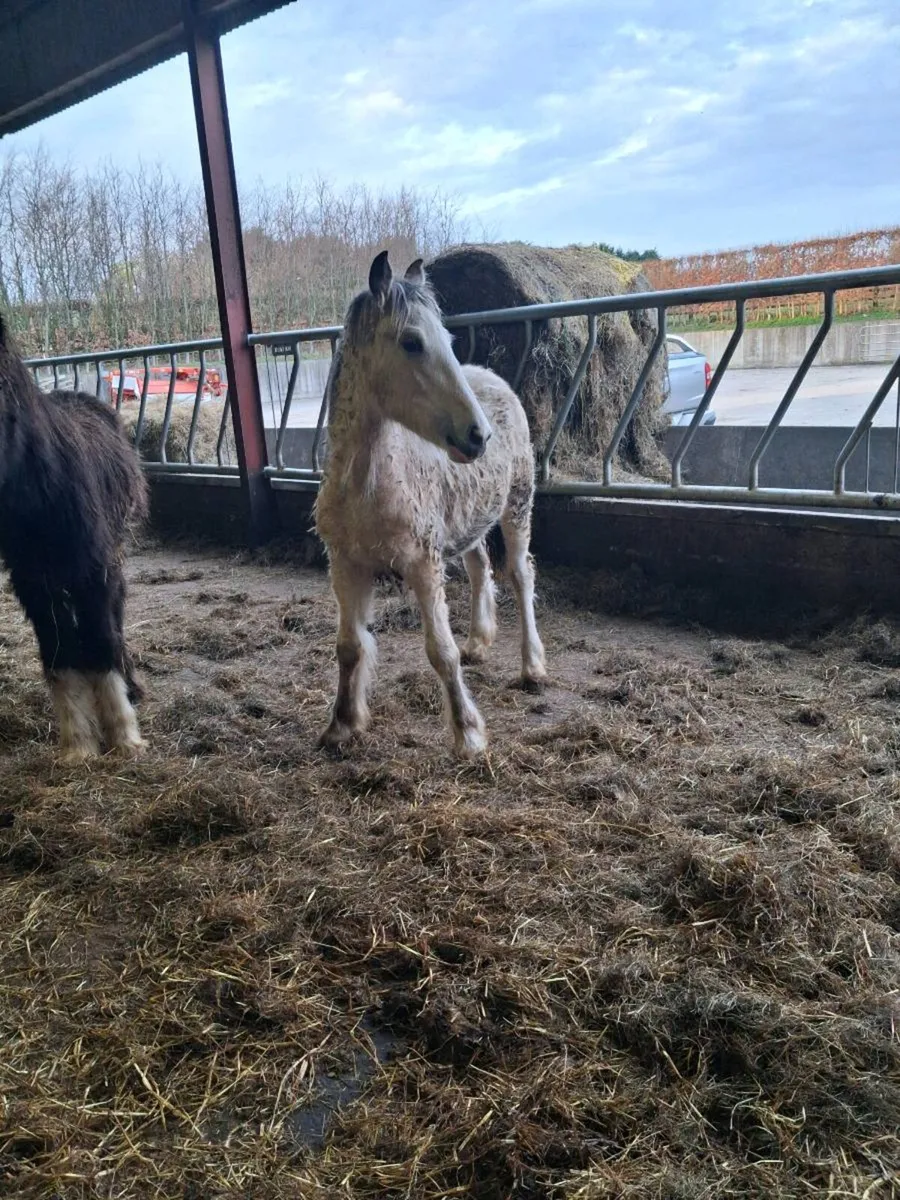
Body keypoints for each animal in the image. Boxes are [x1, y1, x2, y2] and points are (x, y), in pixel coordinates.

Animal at [0, 316, 148, 762]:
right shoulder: (34, 584)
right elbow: (58, 652)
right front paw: (78, 745)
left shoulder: (93, 572)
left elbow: (100, 639)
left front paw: (124, 737)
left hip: (113, 556)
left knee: (116, 619)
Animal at [314, 250, 546, 758]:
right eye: (411, 342)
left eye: (449, 340)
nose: (478, 436)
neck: (369, 484)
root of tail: (493, 378)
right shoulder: (345, 566)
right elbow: (349, 646)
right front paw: (341, 725)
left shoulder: (422, 563)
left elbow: (440, 650)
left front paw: (469, 735)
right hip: (469, 521)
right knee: (480, 567)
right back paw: (480, 641)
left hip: (518, 505)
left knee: (520, 574)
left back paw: (533, 667)